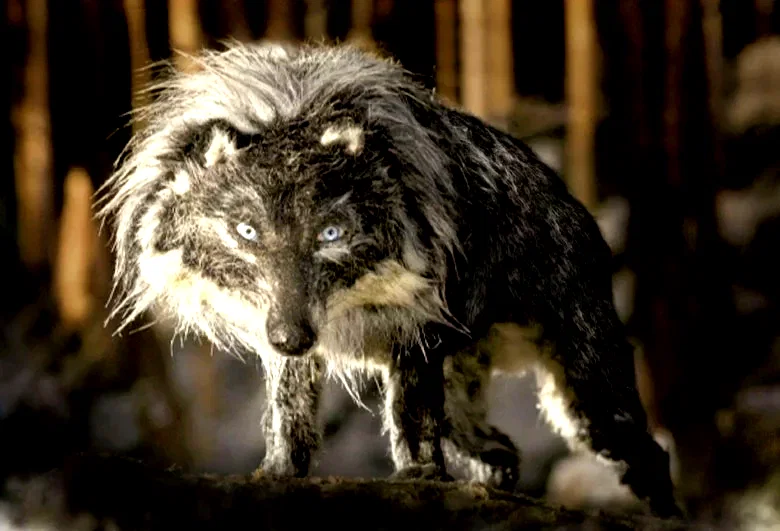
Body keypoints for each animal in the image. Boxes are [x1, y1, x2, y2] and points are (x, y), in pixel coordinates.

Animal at [96, 42, 681, 517]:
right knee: (496, 449)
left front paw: (418, 479)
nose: (291, 336)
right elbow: (289, 416)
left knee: (650, 454)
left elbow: (410, 423)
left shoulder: (415, 340)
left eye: (331, 232)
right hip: (472, 394)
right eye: (246, 230)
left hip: (589, 399)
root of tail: (578, 207)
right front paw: (278, 474)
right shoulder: (295, 350)